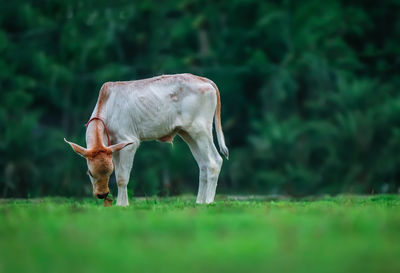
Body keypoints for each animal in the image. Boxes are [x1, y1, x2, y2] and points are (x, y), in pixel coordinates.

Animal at [65, 73, 228, 205]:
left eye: (108, 172)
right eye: (90, 173)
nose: (102, 194)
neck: (108, 108)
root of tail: (203, 80)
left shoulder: (129, 142)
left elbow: (122, 177)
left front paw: (122, 206)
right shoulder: (115, 147)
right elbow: (119, 175)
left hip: (201, 130)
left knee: (214, 161)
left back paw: (208, 202)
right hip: (188, 134)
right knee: (203, 165)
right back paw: (199, 202)